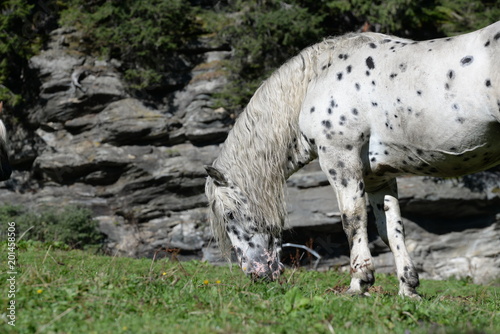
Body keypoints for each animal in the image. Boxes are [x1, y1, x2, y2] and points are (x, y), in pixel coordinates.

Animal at [204, 20, 500, 298]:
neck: (316, 80)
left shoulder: (341, 160)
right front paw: (408, 288)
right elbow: (391, 230)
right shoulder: (378, 177)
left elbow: (353, 220)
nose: (256, 273)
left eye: (229, 214)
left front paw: (360, 282)